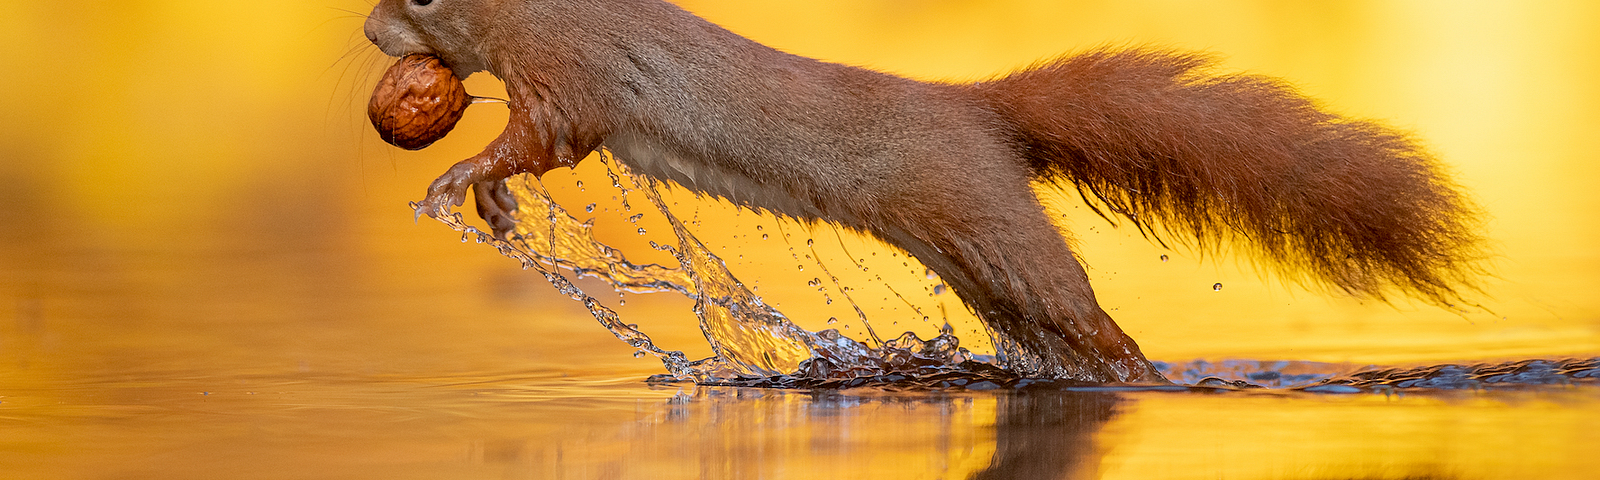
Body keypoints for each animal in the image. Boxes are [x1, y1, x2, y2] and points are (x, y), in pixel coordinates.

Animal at [363, 0, 1484, 382]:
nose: (367, 28)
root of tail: (975, 104)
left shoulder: (574, 71)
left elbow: (547, 135)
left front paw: (459, 178)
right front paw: (491, 204)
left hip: (990, 222)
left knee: (1095, 324)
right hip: (979, 259)